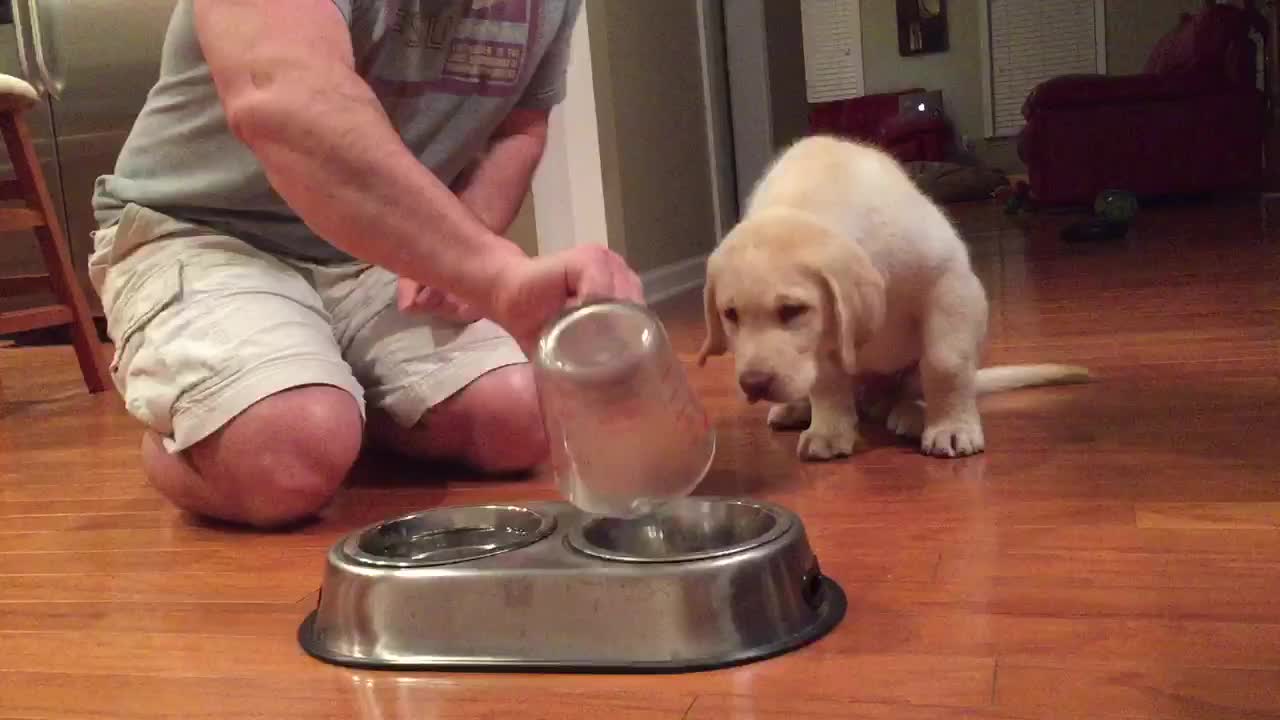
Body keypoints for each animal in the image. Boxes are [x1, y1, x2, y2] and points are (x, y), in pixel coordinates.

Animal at [696, 135, 1085, 458]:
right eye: (730, 314)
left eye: (792, 310)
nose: (754, 385)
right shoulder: (824, 342)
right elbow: (826, 381)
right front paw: (829, 431)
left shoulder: (950, 287)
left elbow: (945, 363)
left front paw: (953, 428)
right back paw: (800, 409)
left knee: (917, 385)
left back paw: (912, 414)